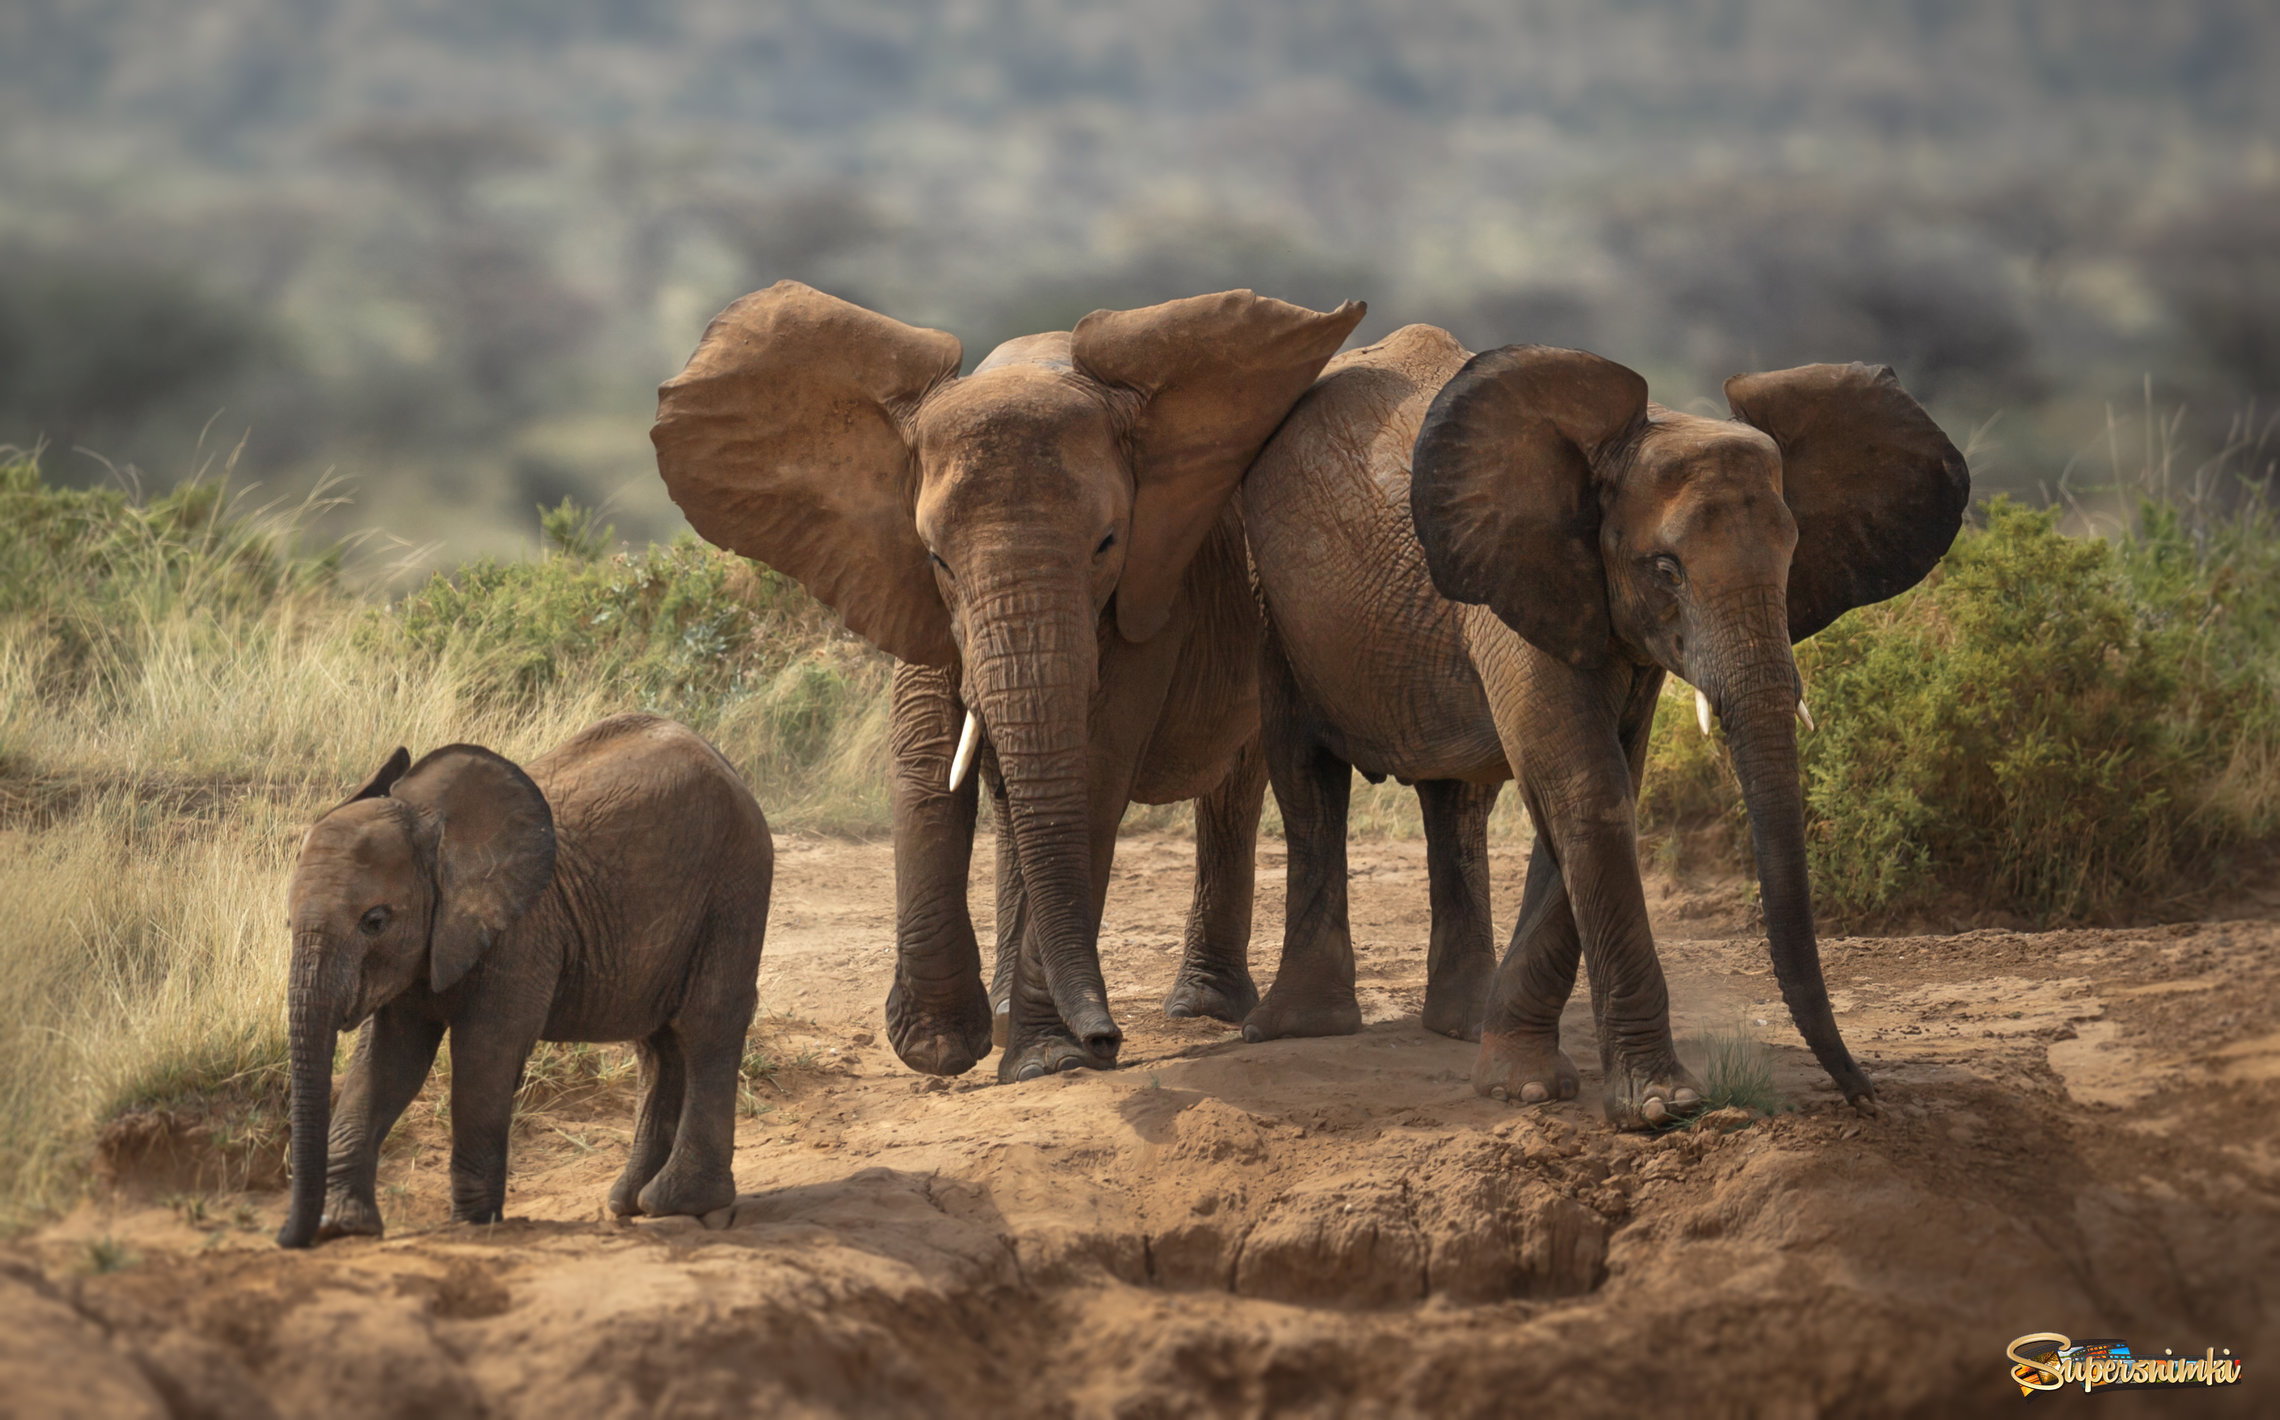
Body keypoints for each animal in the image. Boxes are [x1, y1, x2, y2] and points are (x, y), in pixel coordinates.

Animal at [273, 715, 775, 1249]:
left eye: (375, 921)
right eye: (288, 924)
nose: (287, 1238)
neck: (439, 836)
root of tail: (726, 764)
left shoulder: (522, 932)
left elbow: (485, 1053)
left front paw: (473, 1224)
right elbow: (388, 1062)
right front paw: (345, 1225)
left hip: (734, 884)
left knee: (705, 1027)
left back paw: (677, 1203)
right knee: (658, 1045)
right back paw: (629, 1203)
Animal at [1240, 328, 1969, 1125]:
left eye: (1792, 557)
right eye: (1666, 570)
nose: (1866, 1098)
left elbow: (1603, 783)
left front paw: (1520, 1083)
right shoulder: (1518, 584)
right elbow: (1587, 788)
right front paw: (1659, 1107)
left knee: (1457, 802)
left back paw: (1459, 1025)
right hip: (1269, 603)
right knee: (1305, 778)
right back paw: (1299, 1028)